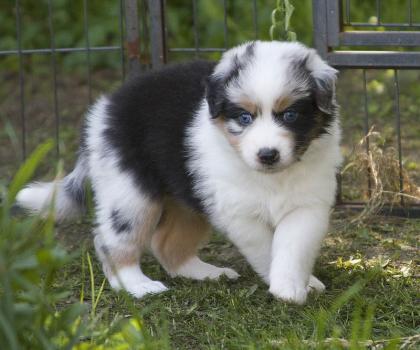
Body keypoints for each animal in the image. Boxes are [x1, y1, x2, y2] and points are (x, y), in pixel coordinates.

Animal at [18, 40, 342, 304]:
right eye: (244, 118)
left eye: (290, 115)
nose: (267, 155)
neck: (272, 178)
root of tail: (105, 109)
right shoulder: (238, 212)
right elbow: (265, 246)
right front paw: (285, 284)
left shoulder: (307, 204)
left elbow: (292, 244)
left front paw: (295, 286)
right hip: (130, 193)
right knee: (110, 240)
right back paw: (136, 285)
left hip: (188, 196)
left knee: (166, 244)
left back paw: (208, 273)